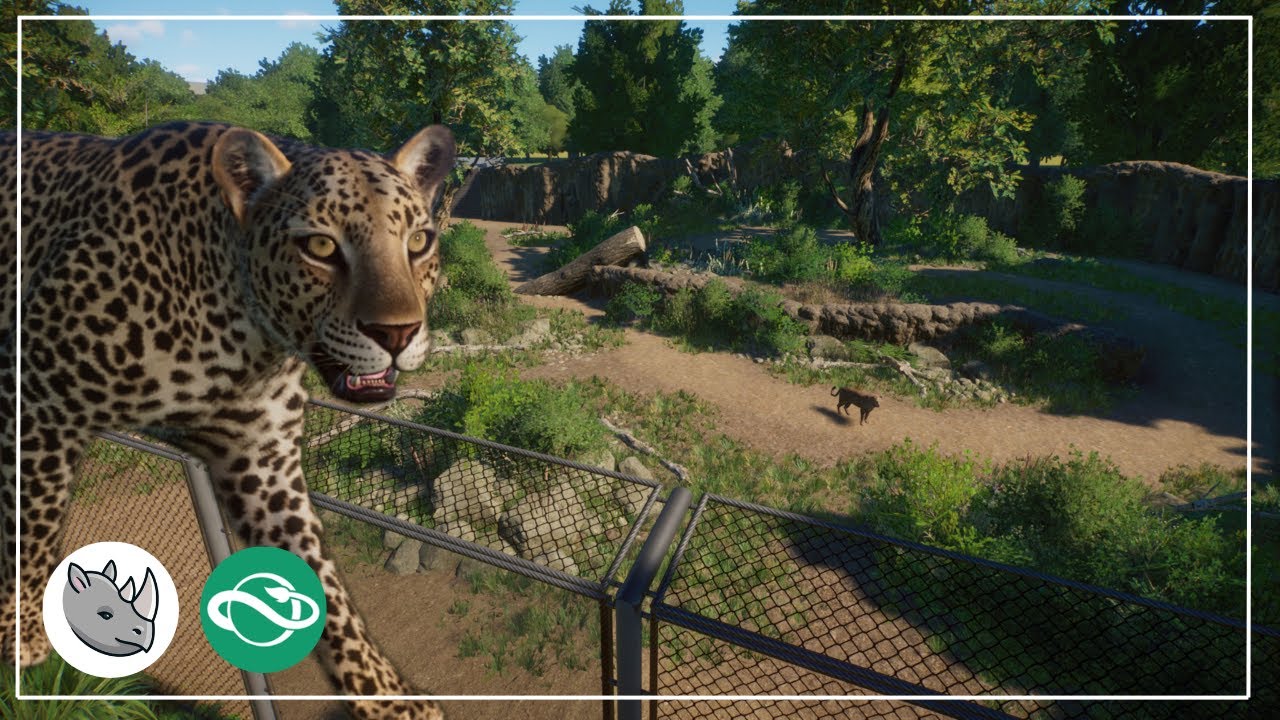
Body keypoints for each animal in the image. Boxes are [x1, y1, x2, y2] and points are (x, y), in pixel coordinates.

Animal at [0, 120, 459, 720]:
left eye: (419, 242)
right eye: (320, 247)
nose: (398, 333)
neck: (243, 339)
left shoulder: (261, 458)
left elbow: (323, 585)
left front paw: (387, 699)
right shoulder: (35, 396)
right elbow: (32, 521)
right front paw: (23, 637)